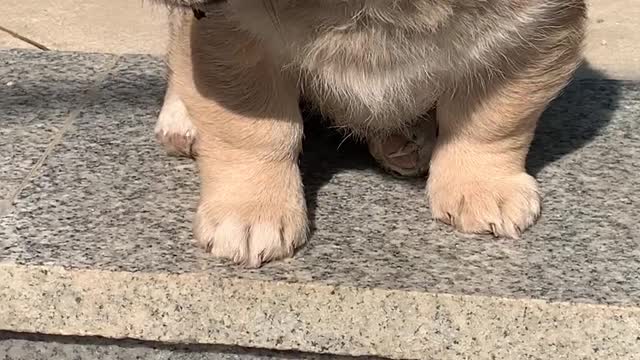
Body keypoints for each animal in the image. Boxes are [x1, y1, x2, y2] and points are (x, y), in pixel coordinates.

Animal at [151, 0, 584, 268]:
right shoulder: (234, 39)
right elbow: (255, 133)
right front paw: (251, 211)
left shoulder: (527, 36)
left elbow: (490, 124)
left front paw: (482, 189)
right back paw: (181, 122)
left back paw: (406, 137)